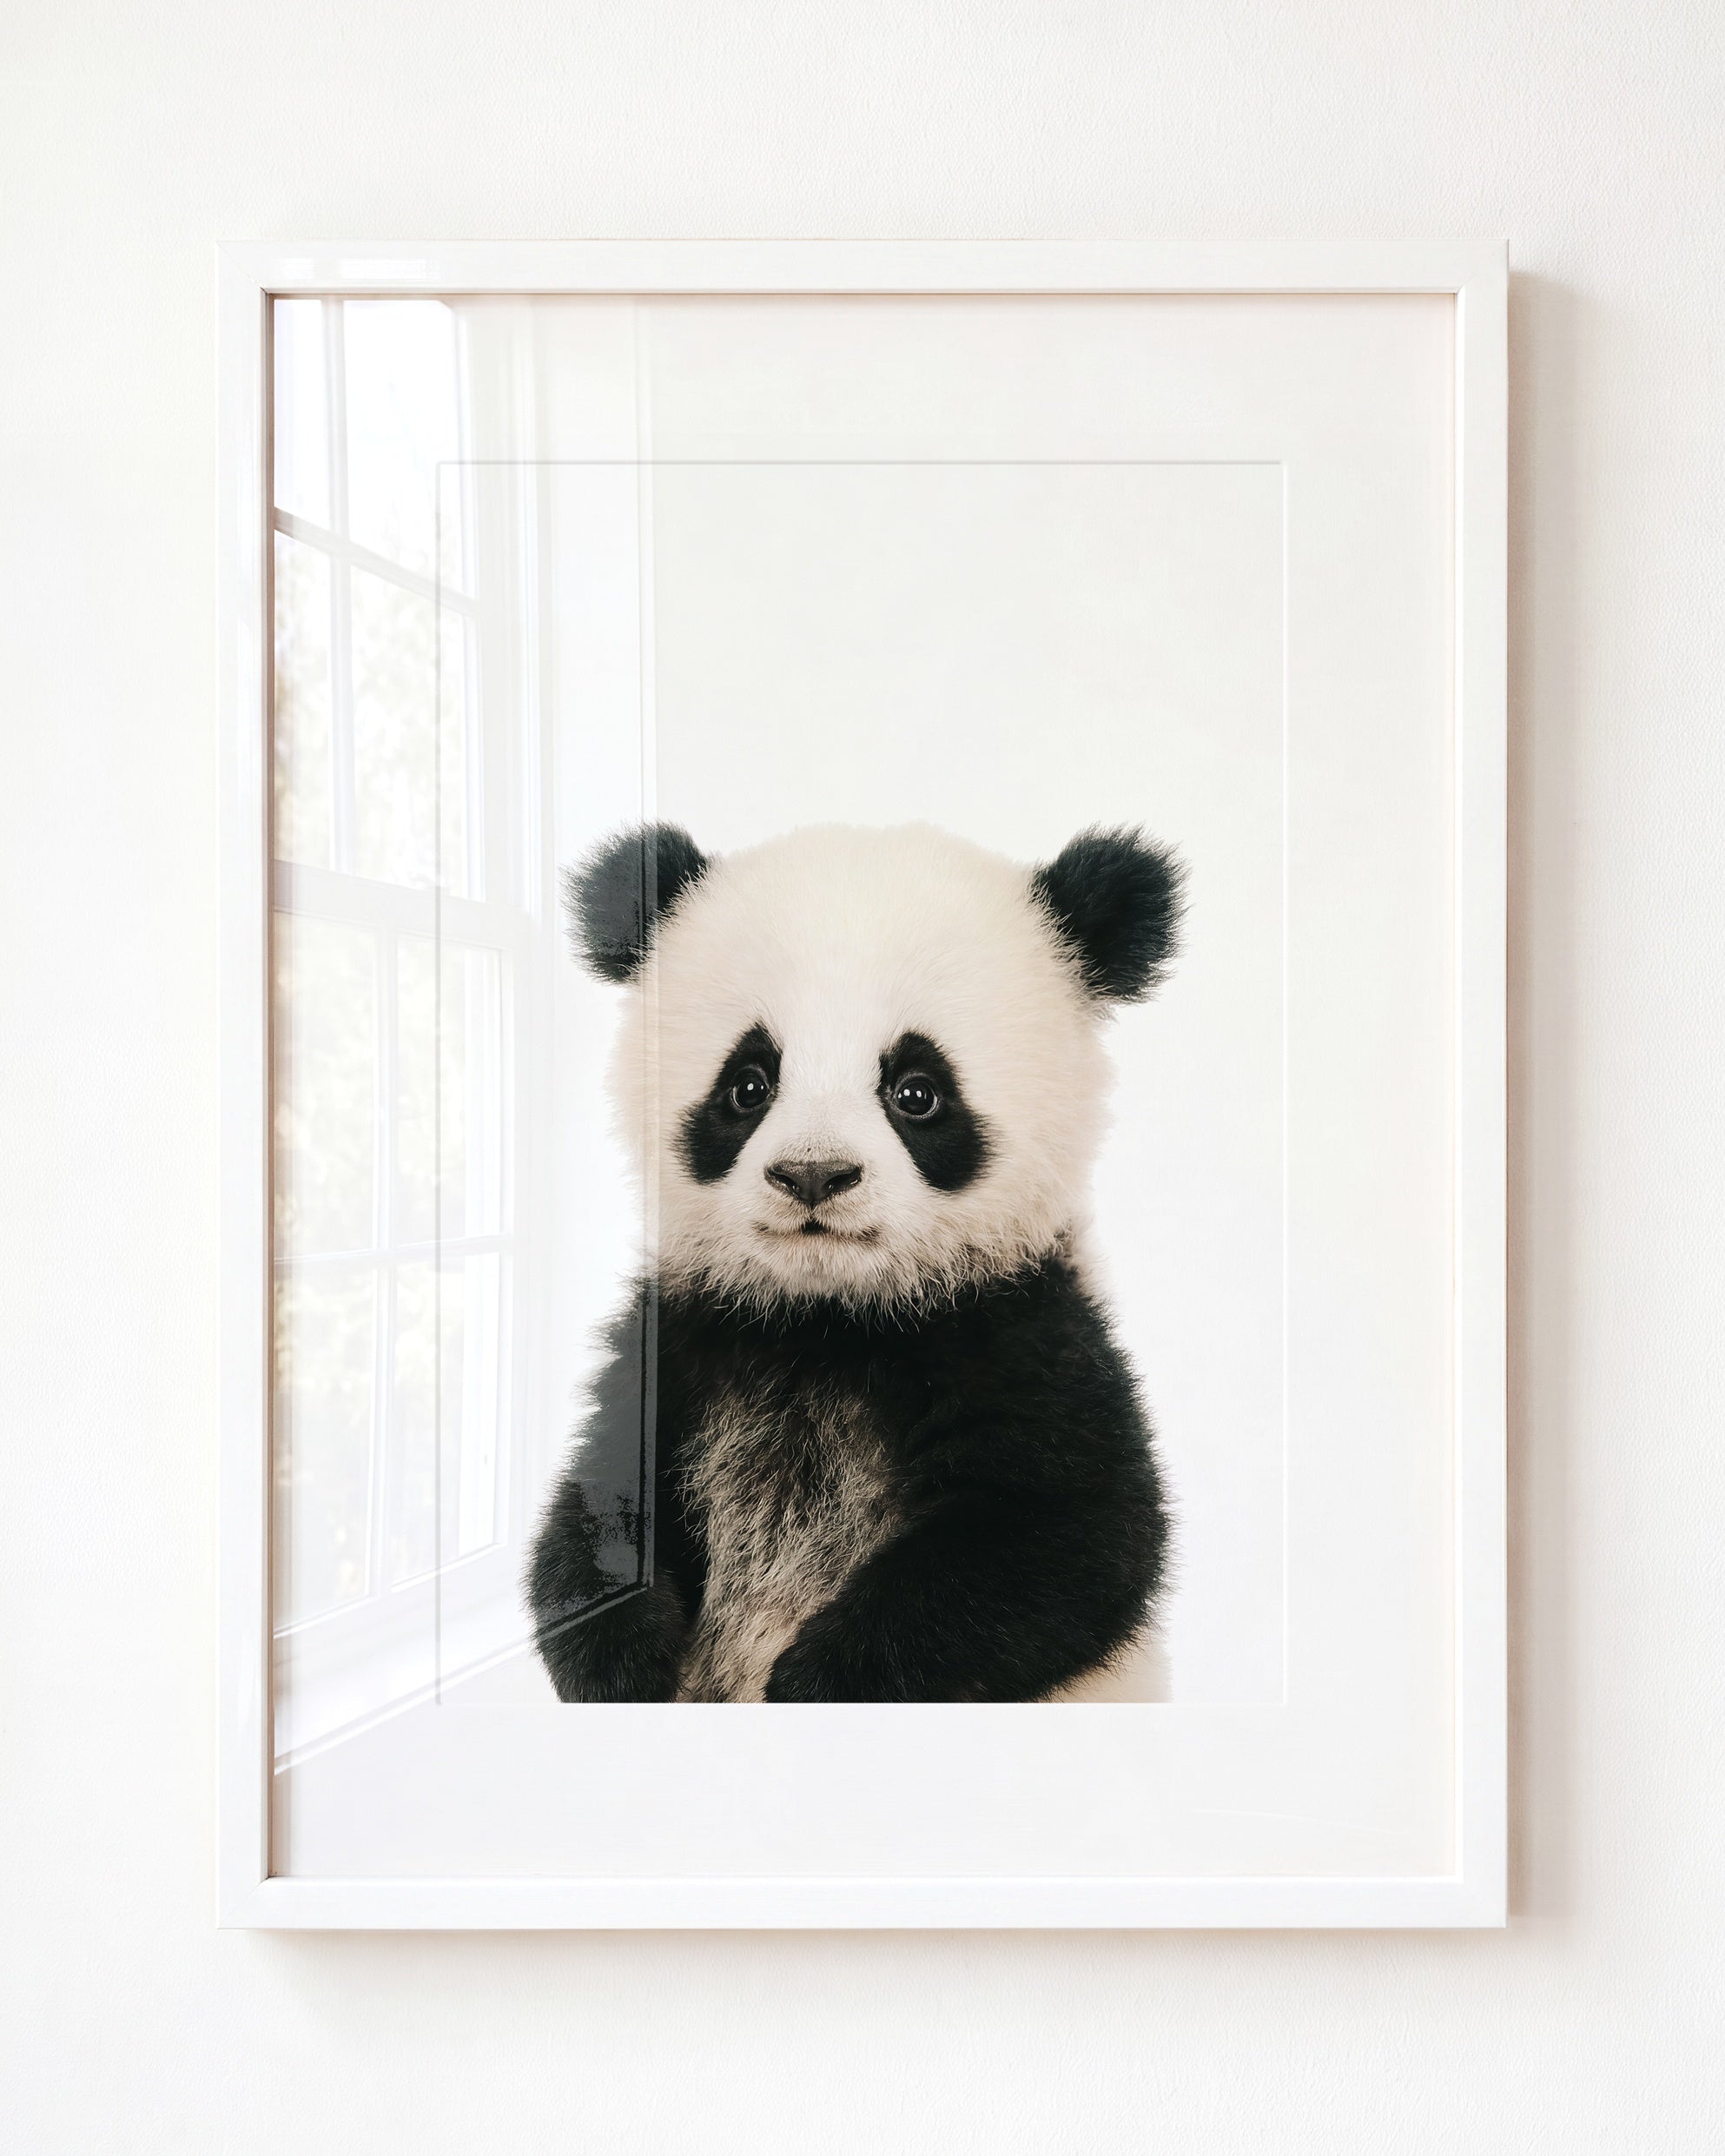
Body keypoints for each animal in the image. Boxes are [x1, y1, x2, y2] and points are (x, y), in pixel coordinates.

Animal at [527, 818, 1184, 1703]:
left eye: (917, 1091)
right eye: (748, 1084)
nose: (814, 1174)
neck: (828, 1317)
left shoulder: (1023, 1332)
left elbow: (1069, 1537)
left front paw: (815, 1682)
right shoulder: (683, 1336)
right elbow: (596, 1505)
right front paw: (624, 1663)